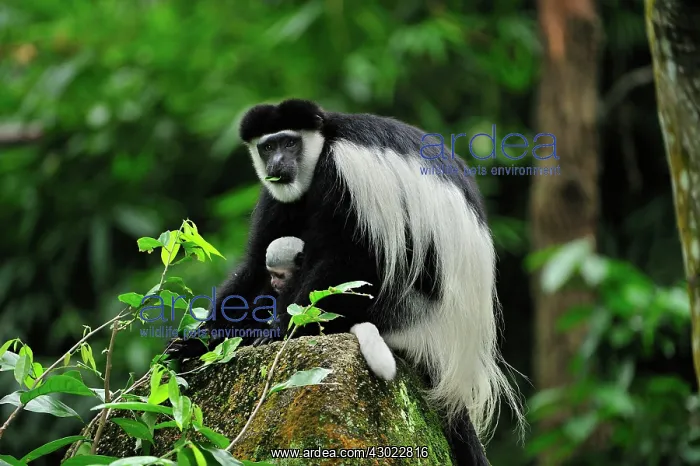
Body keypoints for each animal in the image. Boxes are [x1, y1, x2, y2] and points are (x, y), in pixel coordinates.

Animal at [166, 99, 523, 465]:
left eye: (290, 143)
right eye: (267, 147)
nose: (278, 163)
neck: (324, 143)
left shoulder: (345, 173)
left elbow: (354, 258)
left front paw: (278, 331)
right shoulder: (276, 194)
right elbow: (255, 267)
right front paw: (199, 341)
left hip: (406, 310)